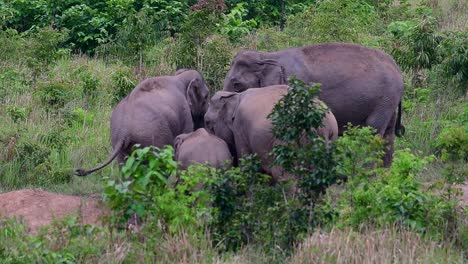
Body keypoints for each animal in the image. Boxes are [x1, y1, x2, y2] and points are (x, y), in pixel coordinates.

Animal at [204, 84, 336, 182]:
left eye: (207, 122)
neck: (236, 95)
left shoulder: (240, 128)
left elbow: (247, 165)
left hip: (287, 141)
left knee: (284, 175)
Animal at [222, 41, 402, 165]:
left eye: (237, 84)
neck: (266, 56)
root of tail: (397, 68)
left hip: (383, 101)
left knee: (373, 132)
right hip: (389, 102)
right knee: (389, 136)